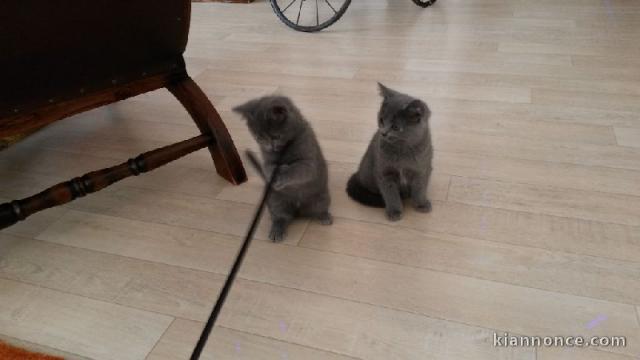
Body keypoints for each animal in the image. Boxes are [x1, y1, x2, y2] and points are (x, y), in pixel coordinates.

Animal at [235, 95, 336, 242]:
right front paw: (274, 175)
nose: (270, 147)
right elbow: (268, 168)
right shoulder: (267, 161)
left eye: (275, 137)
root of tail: (298, 209)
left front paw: (282, 174)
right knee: (281, 217)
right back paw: (277, 231)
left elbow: (298, 169)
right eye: (259, 139)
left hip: (321, 197)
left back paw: (324, 217)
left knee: (318, 209)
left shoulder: (309, 161)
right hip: (275, 200)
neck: (283, 149)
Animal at [348, 83, 432, 221]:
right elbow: (390, 193)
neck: (402, 151)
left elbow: (420, 188)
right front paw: (394, 211)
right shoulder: (384, 173)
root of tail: (357, 174)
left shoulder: (422, 169)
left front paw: (421, 204)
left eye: (395, 127)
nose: (383, 133)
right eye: (381, 120)